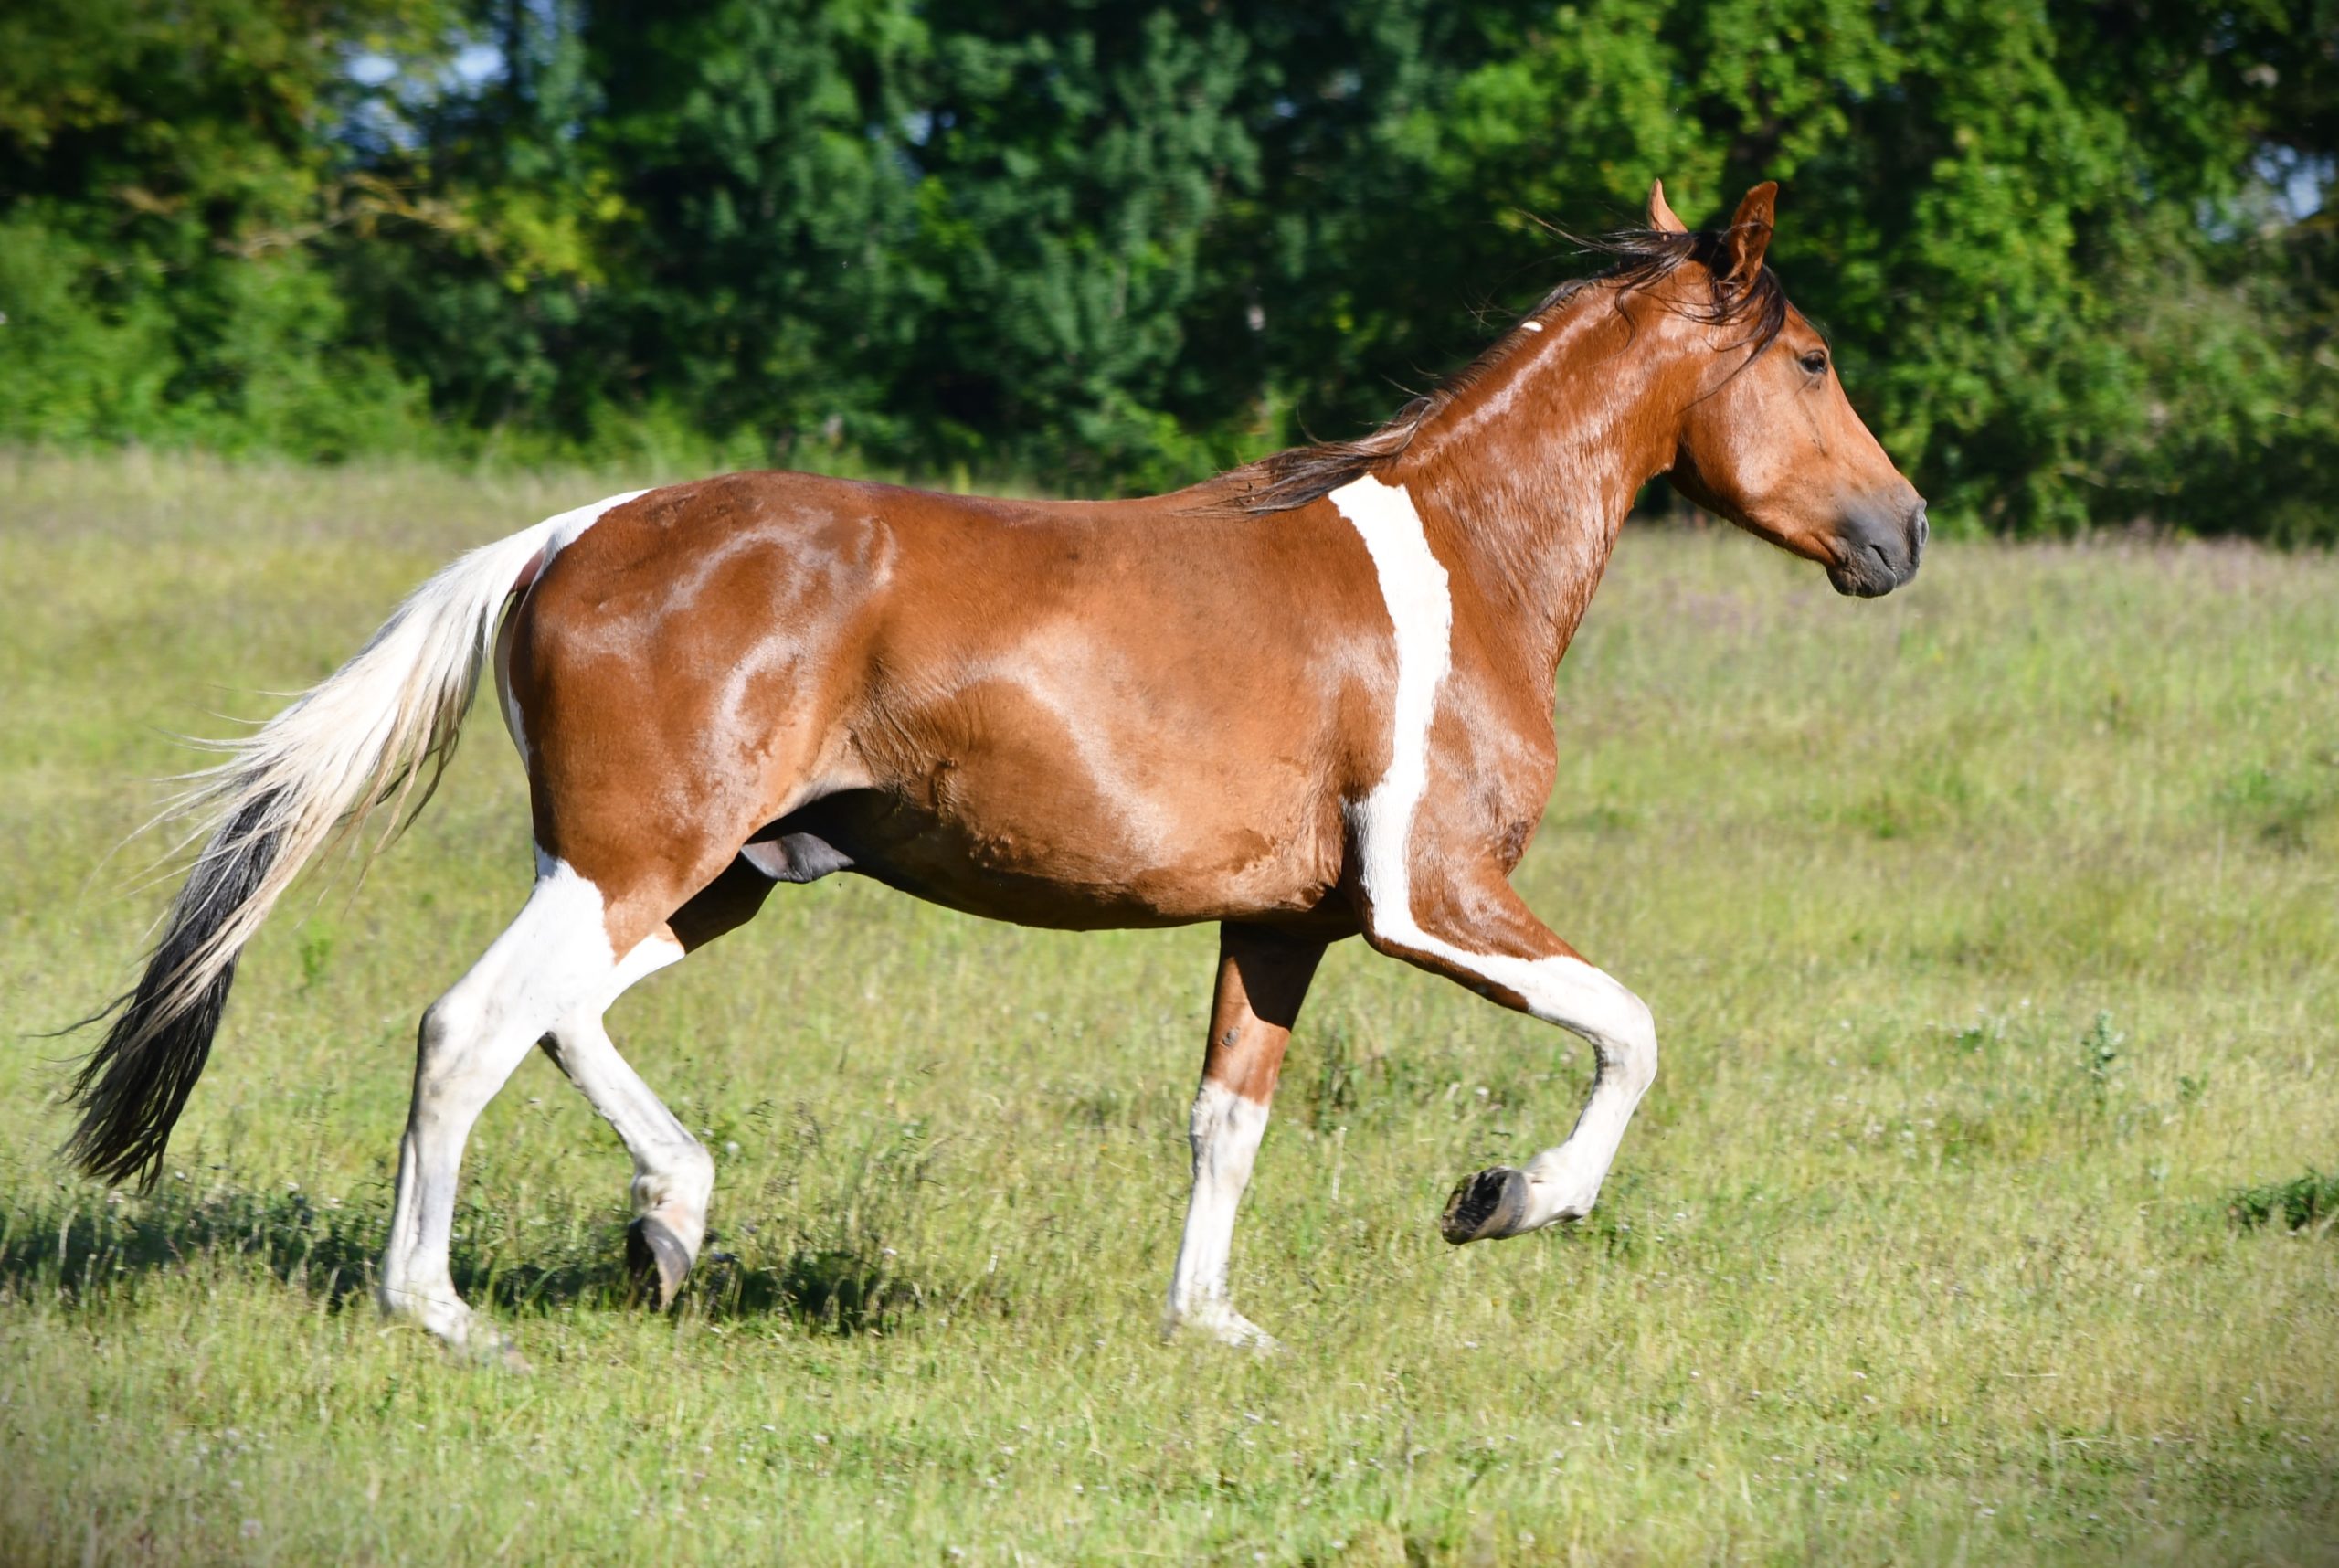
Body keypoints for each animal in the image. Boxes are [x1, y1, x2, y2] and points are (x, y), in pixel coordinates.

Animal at [66, 180, 1924, 1355]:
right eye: (1816, 360)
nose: (1899, 536)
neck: (1460, 562)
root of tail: (570, 535)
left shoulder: (1286, 925)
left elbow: (1225, 1121)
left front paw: (1213, 1325)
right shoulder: (1435, 899)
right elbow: (1633, 1028)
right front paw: (1504, 1199)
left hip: (714, 877)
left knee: (557, 1015)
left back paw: (672, 1224)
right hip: (641, 860)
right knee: (468, 1025)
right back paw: (445, 1313)